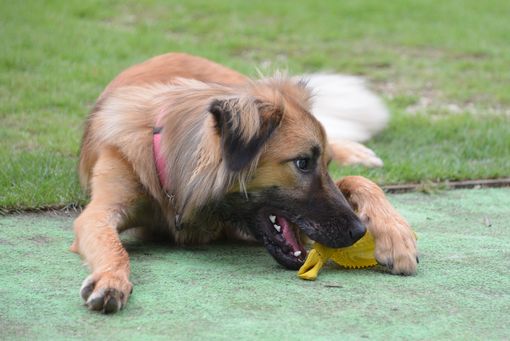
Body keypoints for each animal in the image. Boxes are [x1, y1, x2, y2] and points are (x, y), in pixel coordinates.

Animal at [74, 52, 418, 314]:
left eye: (324, 164)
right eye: (302, 163)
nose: (359, 231)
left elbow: (358, 181)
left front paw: (396, 236)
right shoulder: (99, 211)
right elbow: (113, 246)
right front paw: (111, 280)